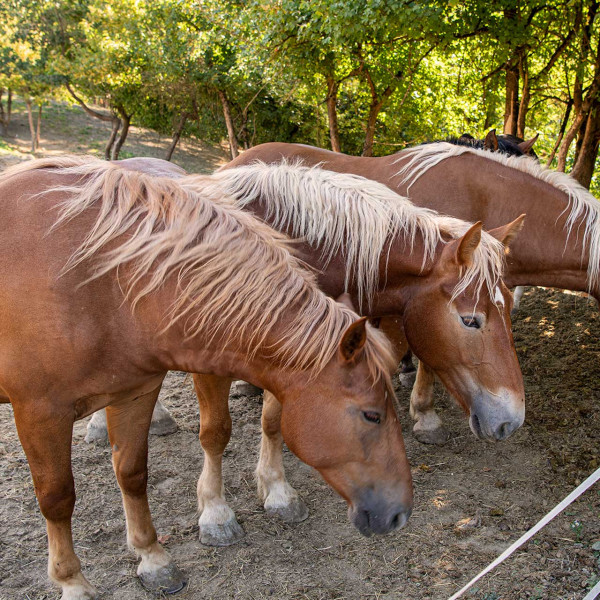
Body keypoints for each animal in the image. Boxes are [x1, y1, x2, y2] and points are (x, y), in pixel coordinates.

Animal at [0, 158, 410, 600]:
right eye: (372, 415)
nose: (401, 513)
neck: (100, 282)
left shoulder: (135, 392)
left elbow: (132, 473)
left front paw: (154, 558)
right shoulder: (40, 413)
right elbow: (57, 498)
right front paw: (73, 582)